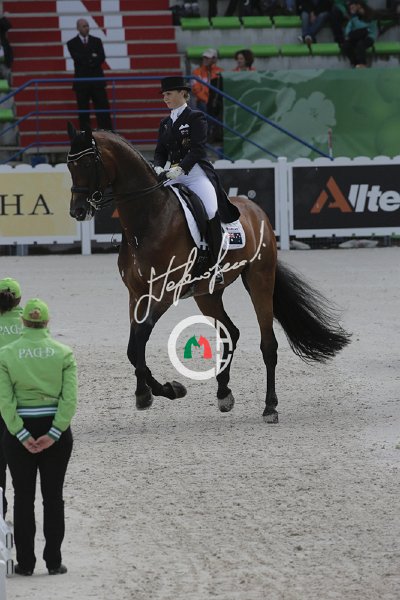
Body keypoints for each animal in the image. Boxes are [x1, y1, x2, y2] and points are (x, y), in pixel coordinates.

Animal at [67, 123, 351, 423]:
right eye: (68, 164)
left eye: (88, 162)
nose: (78, 210)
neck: (148, 220)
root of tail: (256, 210)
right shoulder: (136, 294)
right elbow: (134, 347)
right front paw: (158, 391)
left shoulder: (164, 293)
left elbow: (139, 340)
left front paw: (156, 391)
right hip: (207, 294)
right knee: (230, 332)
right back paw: (224, 393)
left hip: (260, 281)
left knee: (268, 344)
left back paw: (270, 406)